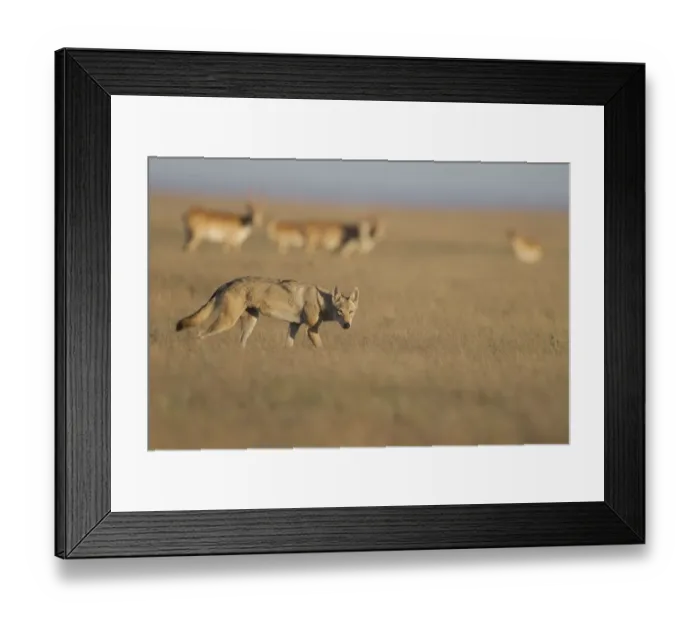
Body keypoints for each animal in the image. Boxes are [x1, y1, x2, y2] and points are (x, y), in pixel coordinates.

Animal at [175, 276, 360, 349]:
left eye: (351, 312)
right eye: (340, 312)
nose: (347, 325)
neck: (321, 301)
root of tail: (227, 283)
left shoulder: (294, 325)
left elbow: (288, 345)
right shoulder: (311, 330)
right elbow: (321, 347)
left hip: (250, 324)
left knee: (240, 343)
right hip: (226, 322)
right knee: (200, 333)